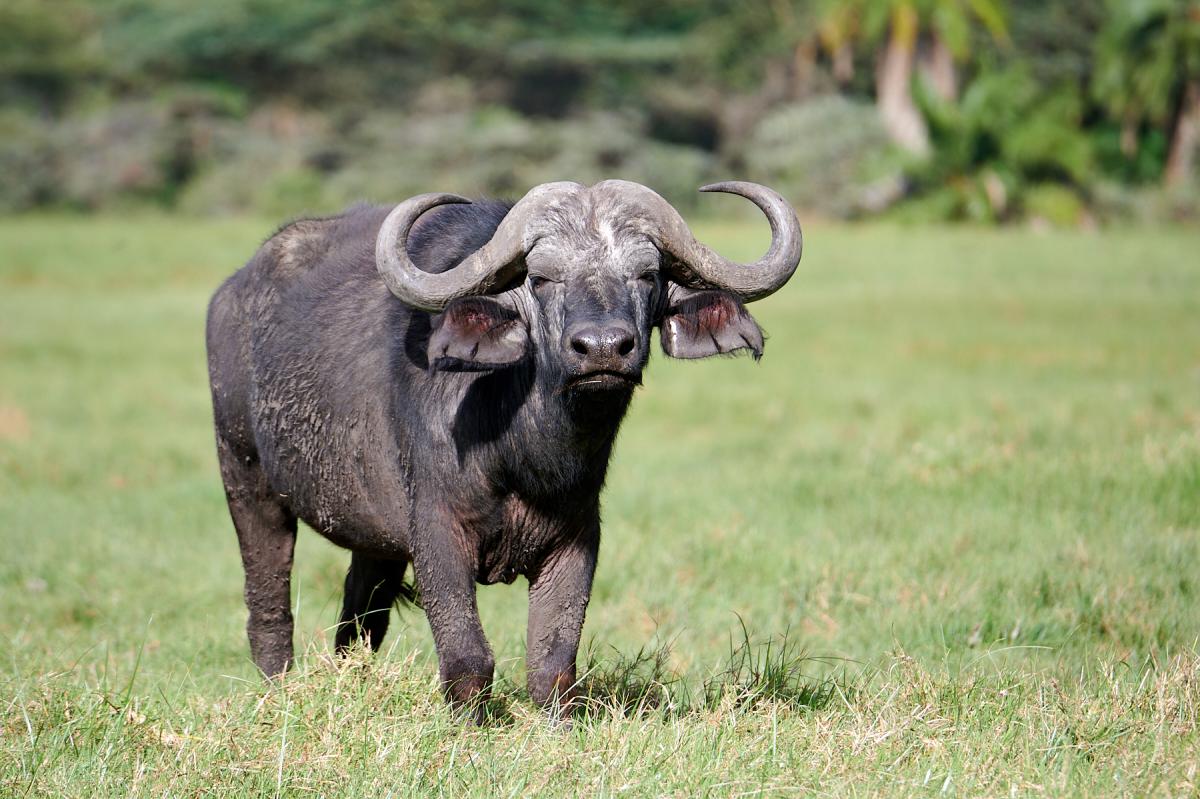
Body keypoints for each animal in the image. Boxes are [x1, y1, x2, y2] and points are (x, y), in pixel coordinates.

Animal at [206, 180, 802, 718]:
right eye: (541, 278)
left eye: (647, 274)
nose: (603, 349)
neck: (524, 453)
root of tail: (231, 294)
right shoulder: (436, 530)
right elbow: (468, 655)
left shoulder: (577, 536)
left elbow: (553, 659)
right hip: (246, 477)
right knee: (268, 600)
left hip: (373, 535)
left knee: (361, 610)